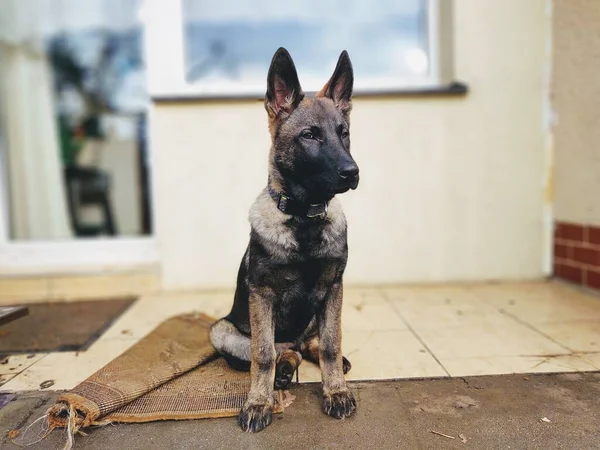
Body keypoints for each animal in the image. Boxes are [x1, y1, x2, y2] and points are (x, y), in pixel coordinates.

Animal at [209, 45, 358, 432]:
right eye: (310, 135)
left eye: (344, 132)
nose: (353, 172)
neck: (304, 217)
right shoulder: (262, 295)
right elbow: (262, 355)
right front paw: (259, 402)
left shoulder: (334, 288)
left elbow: (332, 343)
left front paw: (336, 390)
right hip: (222, 330)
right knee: (282, 351)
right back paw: (284, 372)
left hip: (316, 315)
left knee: (310, 344)